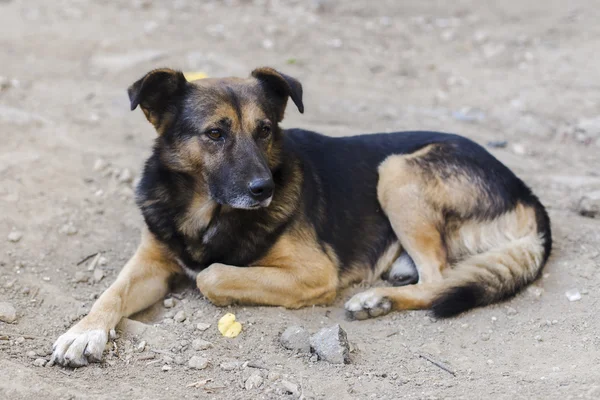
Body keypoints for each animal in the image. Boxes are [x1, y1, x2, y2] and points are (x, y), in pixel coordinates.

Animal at [51, 67, 552, 368]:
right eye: (215, 134)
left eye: (264, 130)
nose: (264, 190)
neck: (206, 212)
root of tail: (527, 193)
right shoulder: (151, 260)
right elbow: (110, 293)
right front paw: (83, 333)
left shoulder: (314, 272)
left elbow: (212, 275)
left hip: (396, 170)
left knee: (440, 278)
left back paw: (377, 299)